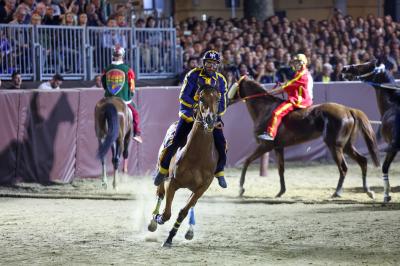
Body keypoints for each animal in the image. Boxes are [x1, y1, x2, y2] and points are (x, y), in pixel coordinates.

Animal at [148, 84, 220, 247]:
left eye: (218, 99)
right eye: (201, 98)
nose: (210, 119)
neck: (198, 156)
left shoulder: (202, 188)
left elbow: (184, 211)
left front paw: (170, 237)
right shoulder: (172, 182)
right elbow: (167, 213)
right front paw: (159, 218)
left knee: (191, 205)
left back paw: (190, 231)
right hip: (161, 172)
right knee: (159, 193)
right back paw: (153, 221)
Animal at [227, 76, 380, 198]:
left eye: (232, 86)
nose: (226, 101)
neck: (265, 109)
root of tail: (348, 110)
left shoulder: (265, 146)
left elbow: (246, 162)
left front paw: (241, 189)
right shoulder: (278, 148)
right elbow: (281, 169)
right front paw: (281, 191)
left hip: (335, 146)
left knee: (343, 168)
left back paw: (337, 192)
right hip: (347, 146)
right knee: (363, 161)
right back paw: (368, 191)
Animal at [340, 59, 400, 202]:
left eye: (364, 65)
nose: (344, 68)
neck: (392, 105)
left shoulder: (393, 147)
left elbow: (384, 167)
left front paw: (386, 195)